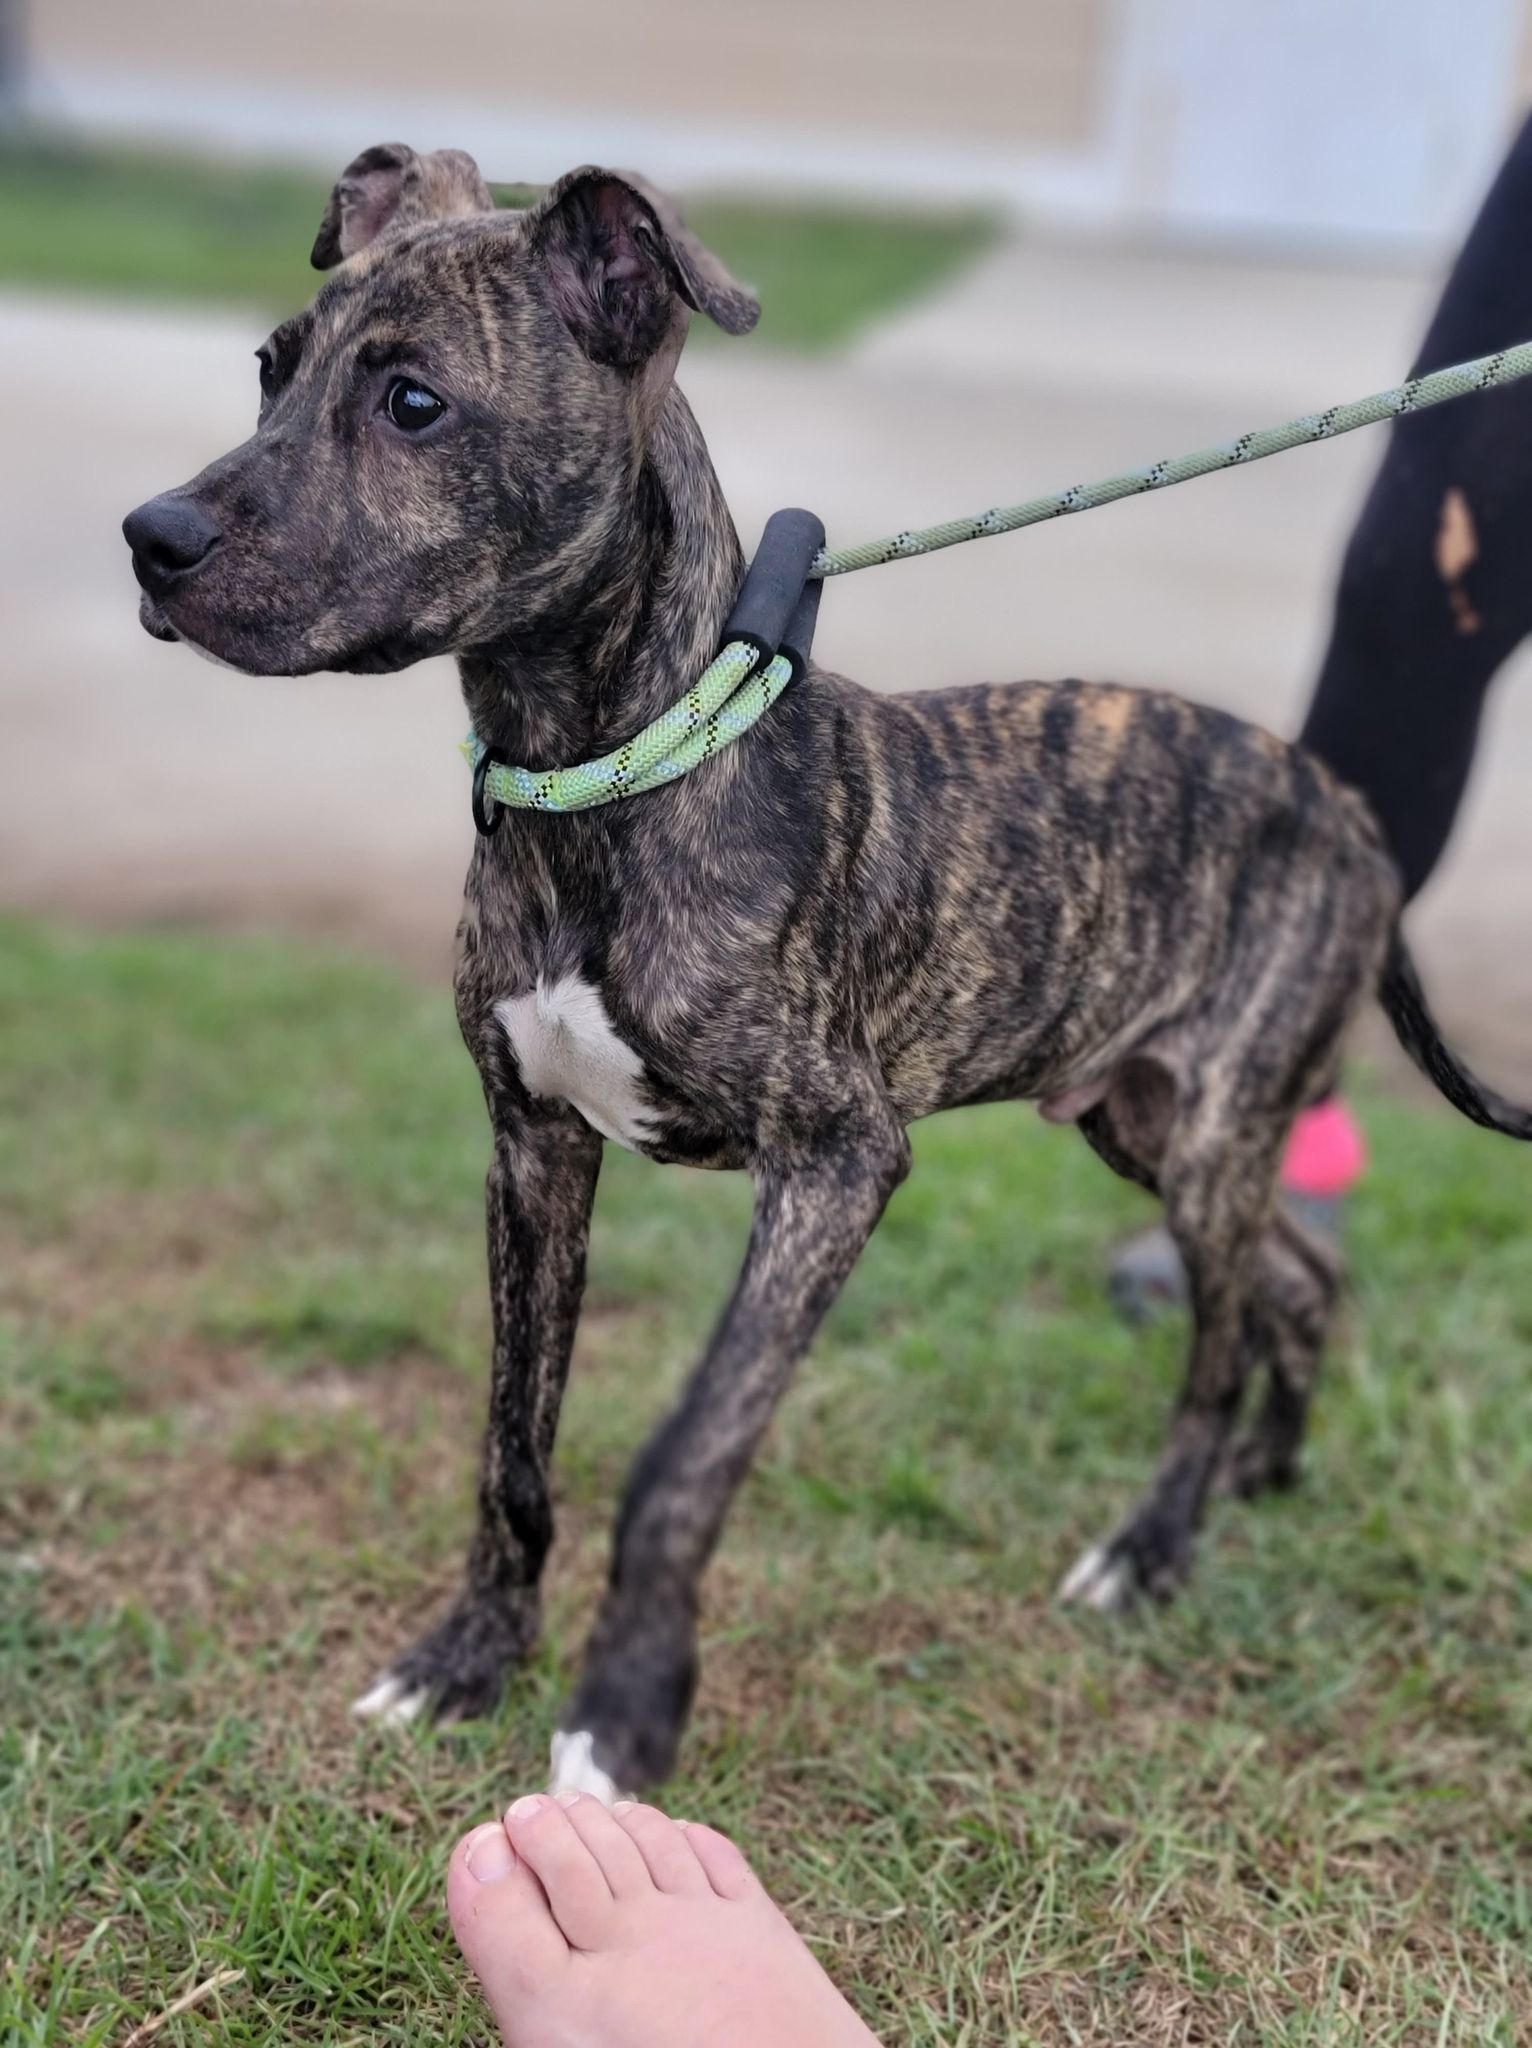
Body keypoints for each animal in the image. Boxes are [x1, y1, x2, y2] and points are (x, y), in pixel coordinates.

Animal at [122, 148, 1532, 1794]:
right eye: (270, 370)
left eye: (412, 402)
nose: (149, 539)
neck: (608, 778)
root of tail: (1346, 809)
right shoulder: (530, 1148)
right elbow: (512, 1441)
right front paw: (470, 1655)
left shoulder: (837, 1160)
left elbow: (684, 1449)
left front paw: (623, 1707)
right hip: (1149, 1114)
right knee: (1285, 1289)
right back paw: (1263, 1468)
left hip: (1217, 1122)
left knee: (1222, 1335)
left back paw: (1151, 1546)